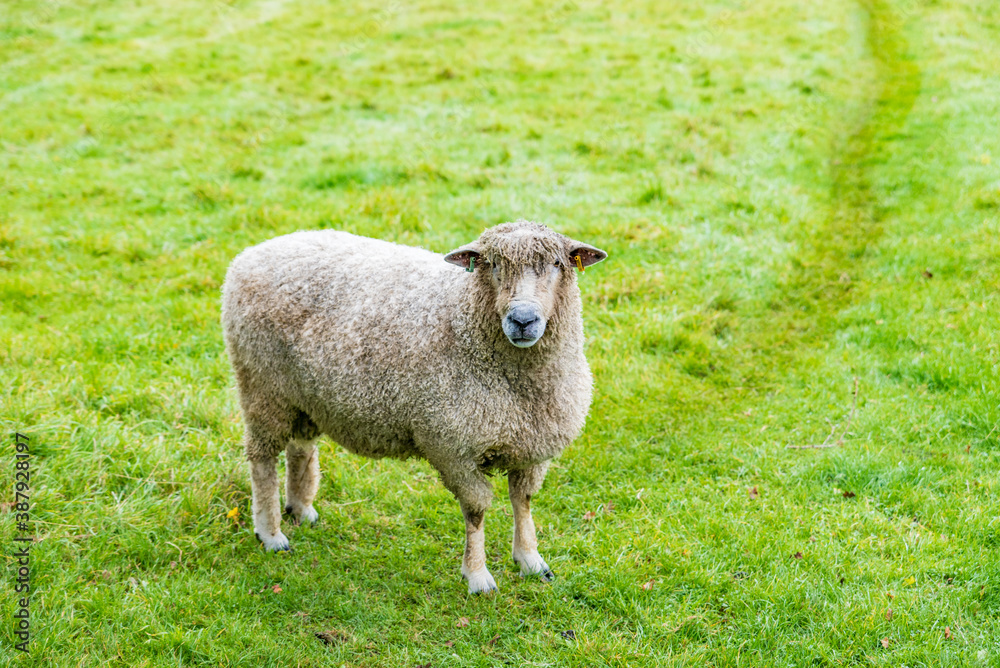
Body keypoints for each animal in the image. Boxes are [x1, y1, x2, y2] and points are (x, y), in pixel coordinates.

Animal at [221, 220, 607, 593]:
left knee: (300, 446)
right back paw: (270, 533)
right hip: (262, 386)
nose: (523, 320)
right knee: (263, 459)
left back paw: (301, 509)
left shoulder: (532, 446)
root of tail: (252, 253)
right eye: (494, 265)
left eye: (556, 264)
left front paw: (530, 560)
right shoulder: (454, 450)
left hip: (305, 396)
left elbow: (522, 500)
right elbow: (476, 511)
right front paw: (477, 576)